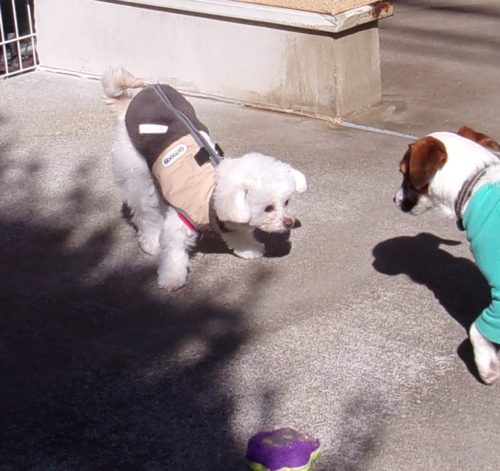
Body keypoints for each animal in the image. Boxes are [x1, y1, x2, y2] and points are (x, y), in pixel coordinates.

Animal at [101, 68, 307, 292]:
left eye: (286, 202)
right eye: (268, 208)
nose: (289, 222)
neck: (212, 193)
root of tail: (127, 108)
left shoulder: (227, 222)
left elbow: (238, 234)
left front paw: (248, 249)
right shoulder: (181, 222)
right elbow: (174, 252)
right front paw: (171, 278)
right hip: (137, 178)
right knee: (147, 214)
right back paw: (152, 243)